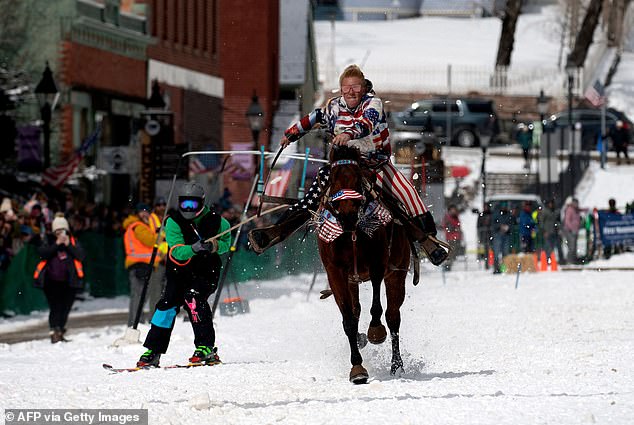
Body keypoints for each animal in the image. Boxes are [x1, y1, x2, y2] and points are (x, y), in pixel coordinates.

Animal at [316, 144, 414, 382]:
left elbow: (377, 306)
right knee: (357, 309)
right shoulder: (336, 273)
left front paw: (375, 330)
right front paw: (357, 368)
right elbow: (349, 320)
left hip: (397, 273)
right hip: (353, 279)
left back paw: (396, 365)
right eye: (333, 178)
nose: (348, 215)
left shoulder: (378, 263)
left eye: (357, 177)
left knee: (393, 316)